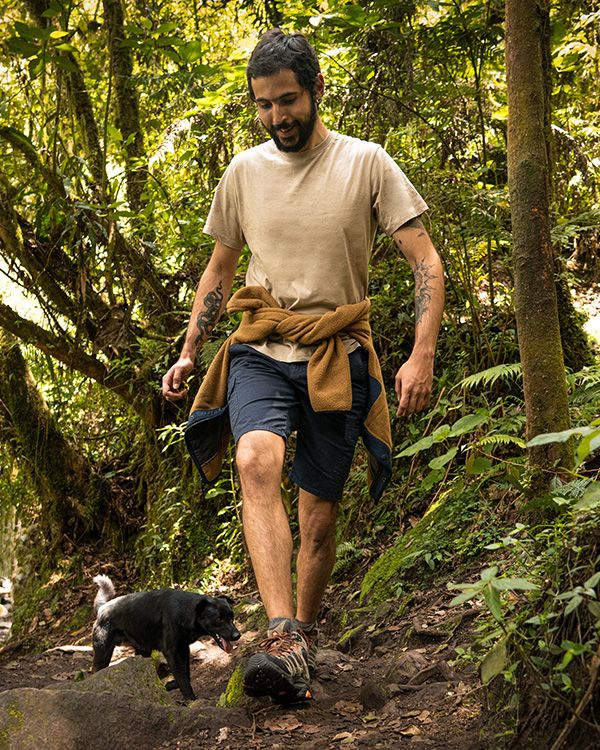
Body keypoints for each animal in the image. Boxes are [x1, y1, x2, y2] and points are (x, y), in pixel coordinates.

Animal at [92, 576, 241, 704]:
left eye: (231, 616)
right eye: (219, 619)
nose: (237, 635)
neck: (184, 612)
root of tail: (102, 608)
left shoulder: (183, 648)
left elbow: (185, 674)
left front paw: (171, 685)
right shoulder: (171, 652)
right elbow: (182, 677)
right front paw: (191, 699)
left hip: (142, 652)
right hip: (103, 653)